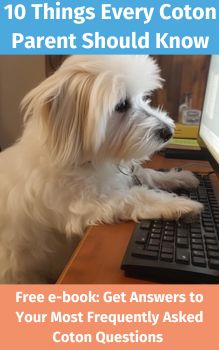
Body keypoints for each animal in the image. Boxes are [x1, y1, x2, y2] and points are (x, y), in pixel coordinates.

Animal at [0, 55, 202, 284]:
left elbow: (146, 174)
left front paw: (181, 177)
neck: (88, 158)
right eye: (121, 105)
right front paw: (180, 204)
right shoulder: (87, 203)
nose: (168, 131)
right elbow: (136, 197)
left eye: (144, 97)